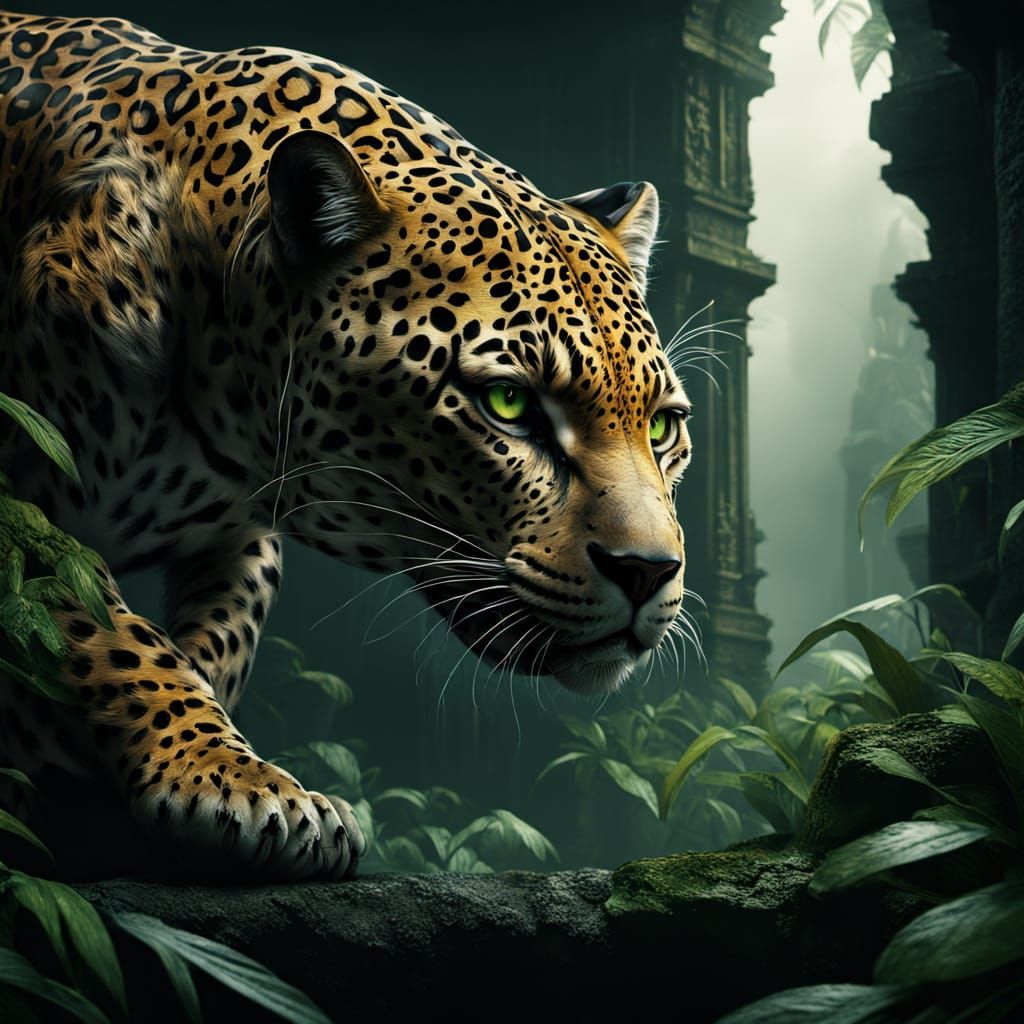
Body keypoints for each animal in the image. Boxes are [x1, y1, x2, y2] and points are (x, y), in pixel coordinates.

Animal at [0, 9, 693, 880]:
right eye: (508, 404)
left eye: (661, 427)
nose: (649, 572)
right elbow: (108, 627)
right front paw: (229, 781)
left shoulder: (243, 536)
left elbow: (214, 646)